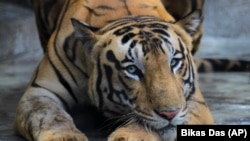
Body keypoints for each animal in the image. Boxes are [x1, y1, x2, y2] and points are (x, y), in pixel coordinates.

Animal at [13, 0, 215, 140]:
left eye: (174, 62)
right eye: (132, 69)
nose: (170, 113)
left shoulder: (193, 99)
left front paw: (130, 136)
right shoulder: (40, 91)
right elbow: (50, 115)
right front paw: (65, 137)